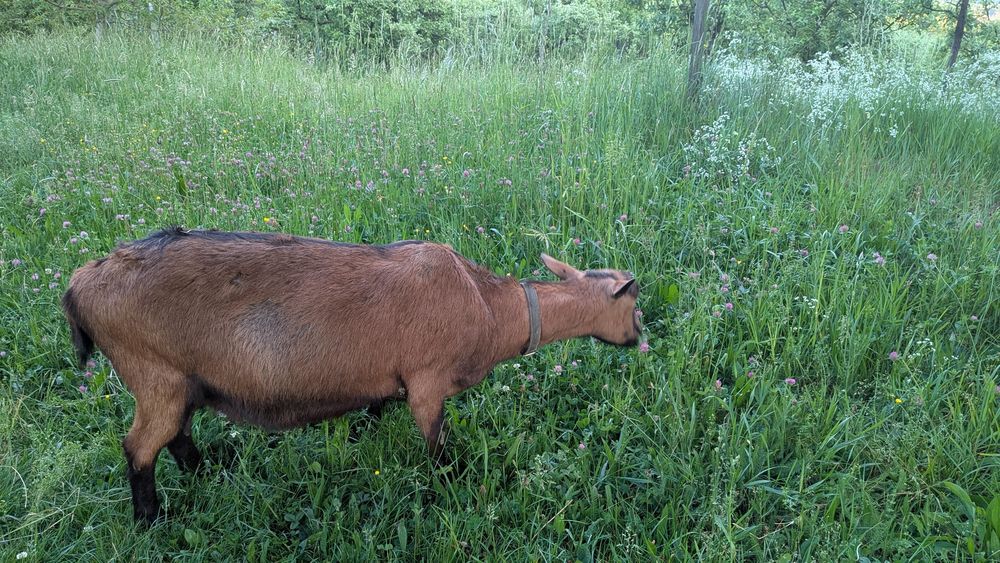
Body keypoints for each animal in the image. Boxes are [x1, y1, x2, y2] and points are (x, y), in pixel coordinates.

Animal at [62, 228, 641, 523]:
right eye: (634, 304)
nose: (641, 338)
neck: (489, 307)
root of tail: (81, 283)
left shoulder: (388, 377)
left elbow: (375, 407)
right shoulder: (427, 383)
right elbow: (437, 447)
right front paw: (451, 487)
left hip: (180, 380)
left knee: (178, 433)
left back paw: (206, 474)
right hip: (152, 372)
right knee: (140, 446)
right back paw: (150, 519)